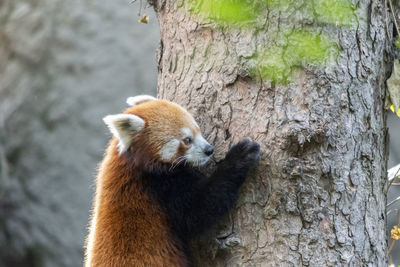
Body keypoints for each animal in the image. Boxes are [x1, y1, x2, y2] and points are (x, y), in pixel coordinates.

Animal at [84, 96, 260, 267]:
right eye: (187, 140)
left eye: (198, 130)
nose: (209, 150)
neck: (134, 162)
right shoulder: (160, 187)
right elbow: (199, 209)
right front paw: (240, 157)